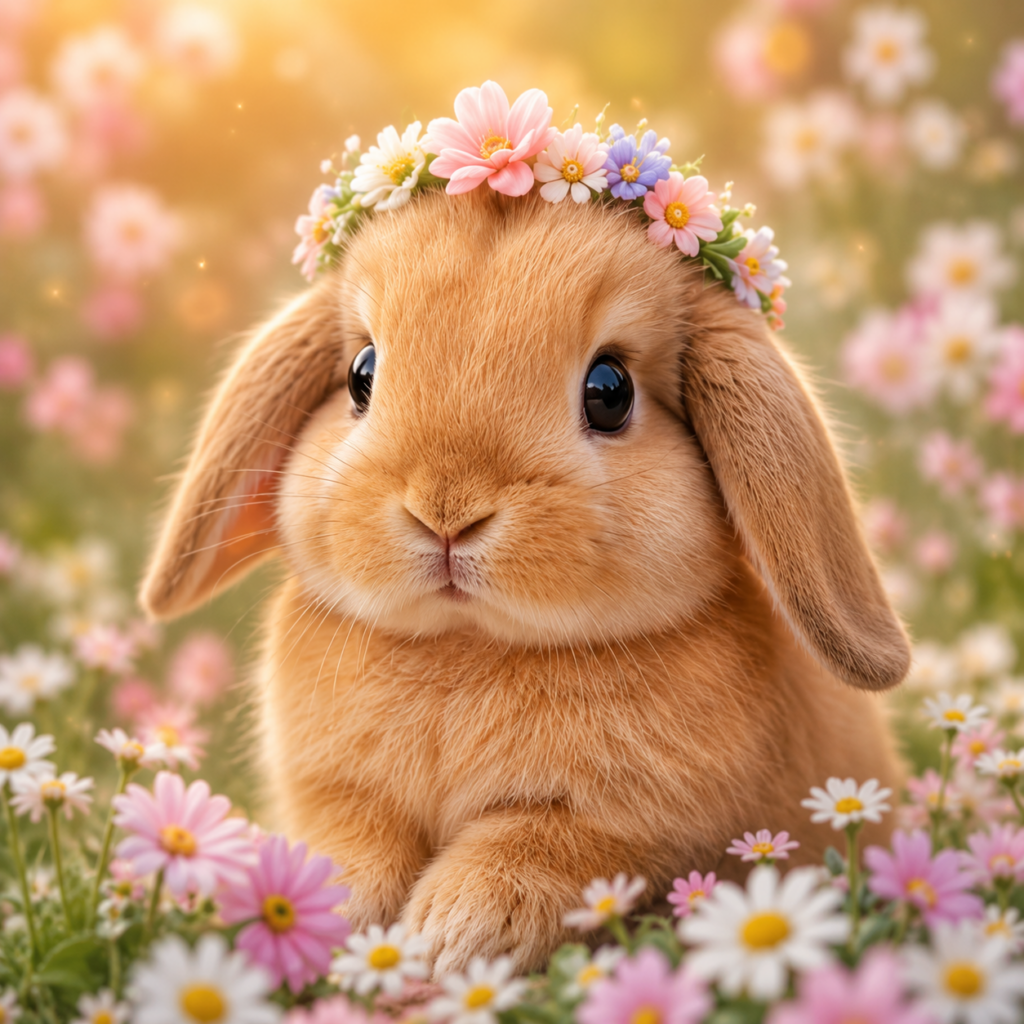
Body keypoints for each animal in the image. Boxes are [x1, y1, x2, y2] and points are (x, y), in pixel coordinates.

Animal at [140, 185, 910, 975]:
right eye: (361, 373)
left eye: (610, 391)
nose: (446, 511)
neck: (467, 645)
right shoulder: (338, 796)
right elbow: (349, 846)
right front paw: (320, 909)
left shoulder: (628, 829)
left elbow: (531, 851)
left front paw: (451, 936)